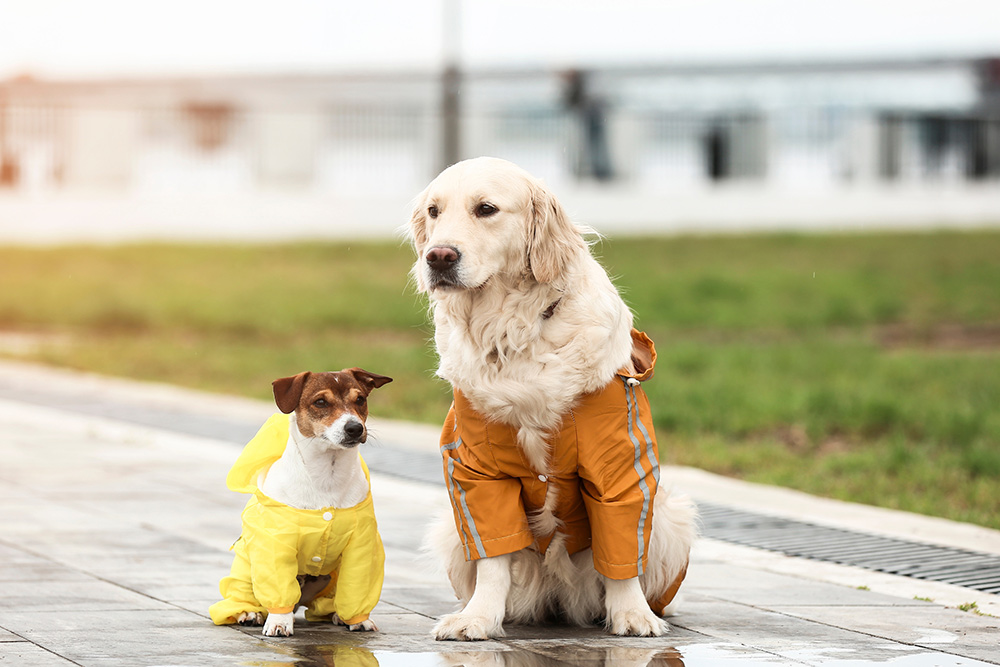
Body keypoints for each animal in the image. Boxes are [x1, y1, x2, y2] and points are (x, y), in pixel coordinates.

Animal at [209, 370, 392, 636]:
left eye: (360, 399)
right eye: (321, 402)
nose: (355, 428)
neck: (327, 475)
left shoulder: (361, 545)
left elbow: (357, 588)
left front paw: (358, 620)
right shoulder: (276, 543)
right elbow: (278, 586)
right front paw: (279, 622)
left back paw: (336, 615)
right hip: (245, 571)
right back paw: (250, 613)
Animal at [406, 157, 696, 640]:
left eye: (486, 209)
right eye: (434, 211)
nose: (438, 256)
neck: (514, 333)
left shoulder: (620, 467)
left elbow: (621, 553)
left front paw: (633, 615)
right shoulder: (474, 470)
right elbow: (493, 556)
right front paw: (478, 618)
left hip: (673, 519)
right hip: (449, 528)